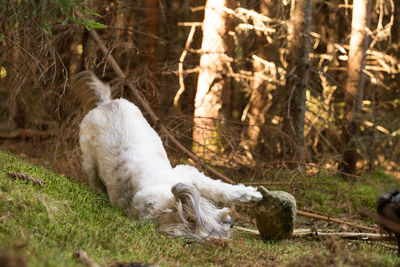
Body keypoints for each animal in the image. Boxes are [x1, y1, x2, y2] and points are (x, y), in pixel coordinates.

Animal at [72, 71, 262, 241]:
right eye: (213, 230)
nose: (231, 223)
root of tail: (105, 103)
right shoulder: (186, 173)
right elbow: (218, 188)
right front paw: (251, 195)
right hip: (89, 160)